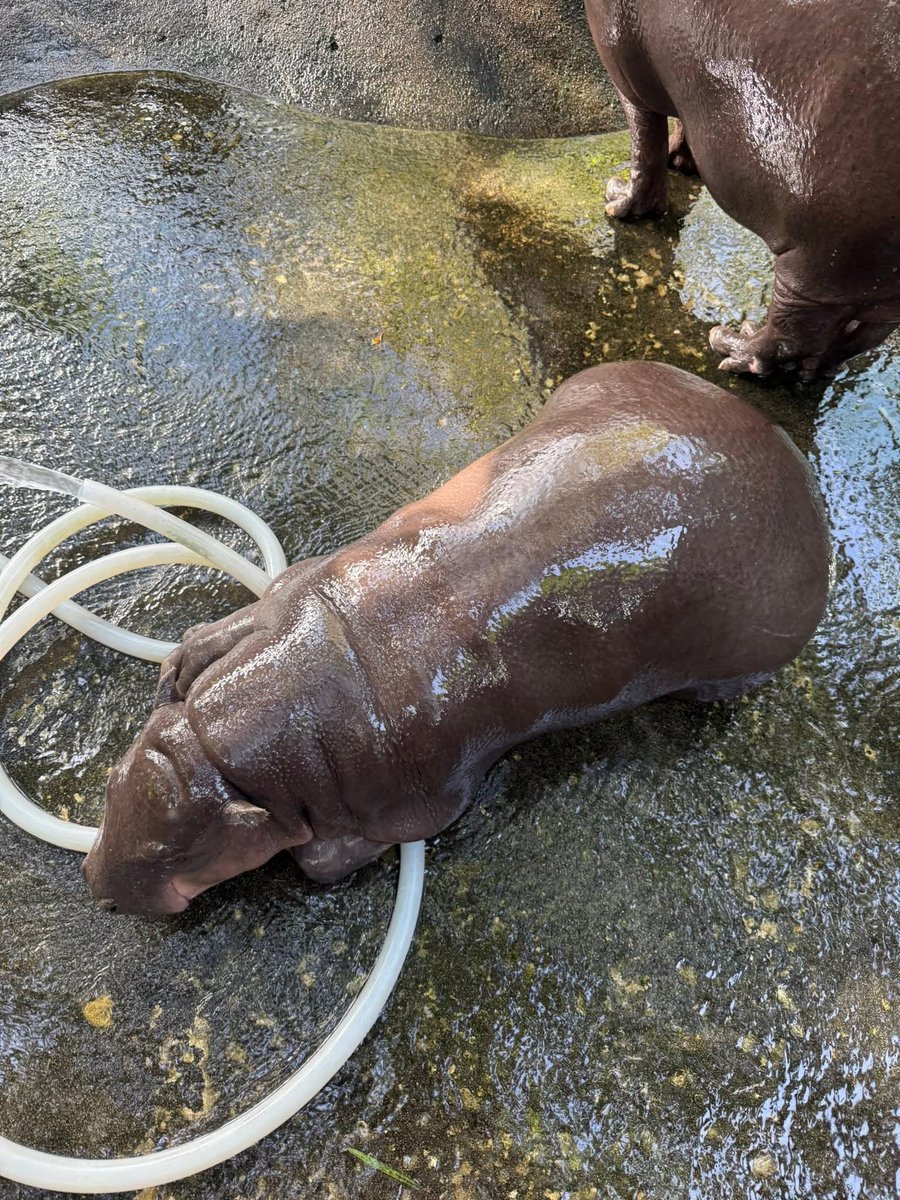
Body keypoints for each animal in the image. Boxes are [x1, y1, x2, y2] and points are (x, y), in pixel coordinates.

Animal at [83, 362, 830, 915]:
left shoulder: (426, 796)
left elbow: (335, 858)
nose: (96, 885)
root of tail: (793, 458)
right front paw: (182, 663)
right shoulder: (296, 593)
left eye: (175, 855)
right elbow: (241, 620)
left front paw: (316, 852)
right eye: (112, 779)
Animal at [583, 0, 900, 379]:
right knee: (855, 340)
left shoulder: (623, 68)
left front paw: (618, 200)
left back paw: (731, 343)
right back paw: (811, 372)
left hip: (815, 270)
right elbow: (679, 126)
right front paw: (680, 159)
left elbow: (644, 141)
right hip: (879, 295)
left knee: (789, 336)